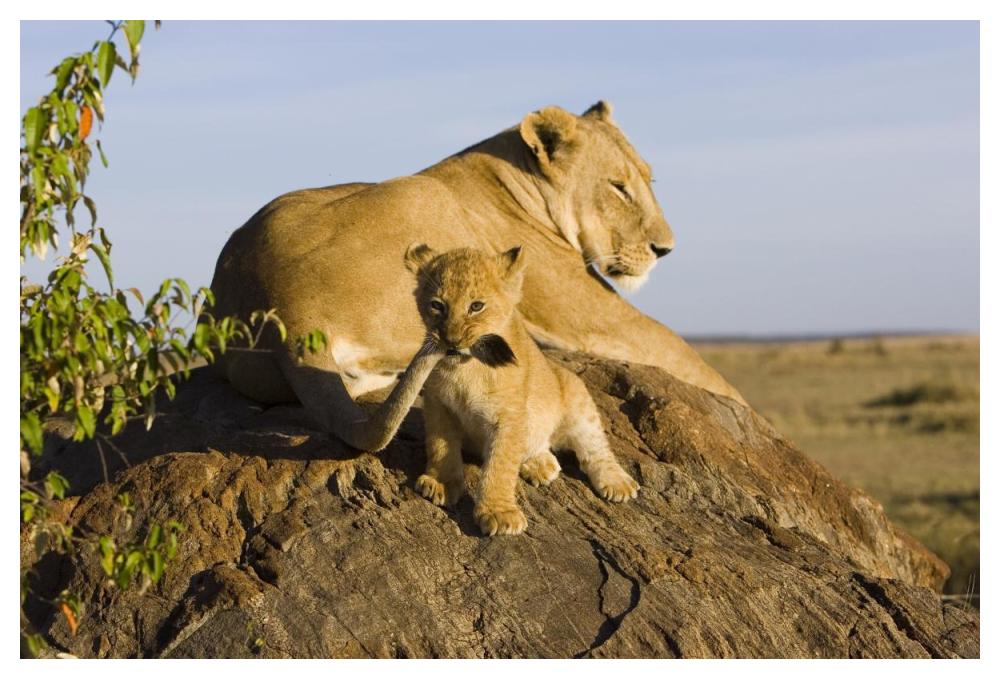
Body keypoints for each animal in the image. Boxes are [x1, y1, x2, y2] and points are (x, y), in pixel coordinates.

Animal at [210, 100, 745, 451]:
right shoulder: (587, 312)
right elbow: (685, 356)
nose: (665, 249)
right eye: (618, 187)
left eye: (649, 181)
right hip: (421, 195)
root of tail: (286, 309)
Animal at [405, 243, 639, 536]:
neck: (465, 369)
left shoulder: (509, 416)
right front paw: (441, 483)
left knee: (596, 448)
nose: (452, 340)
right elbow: (439, 445)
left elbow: (501, 465)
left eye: (476, 306)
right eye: (437, 305)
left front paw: (499, 513)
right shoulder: (439, 405)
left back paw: (618, 483)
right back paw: (541, 465)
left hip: (577, 399)